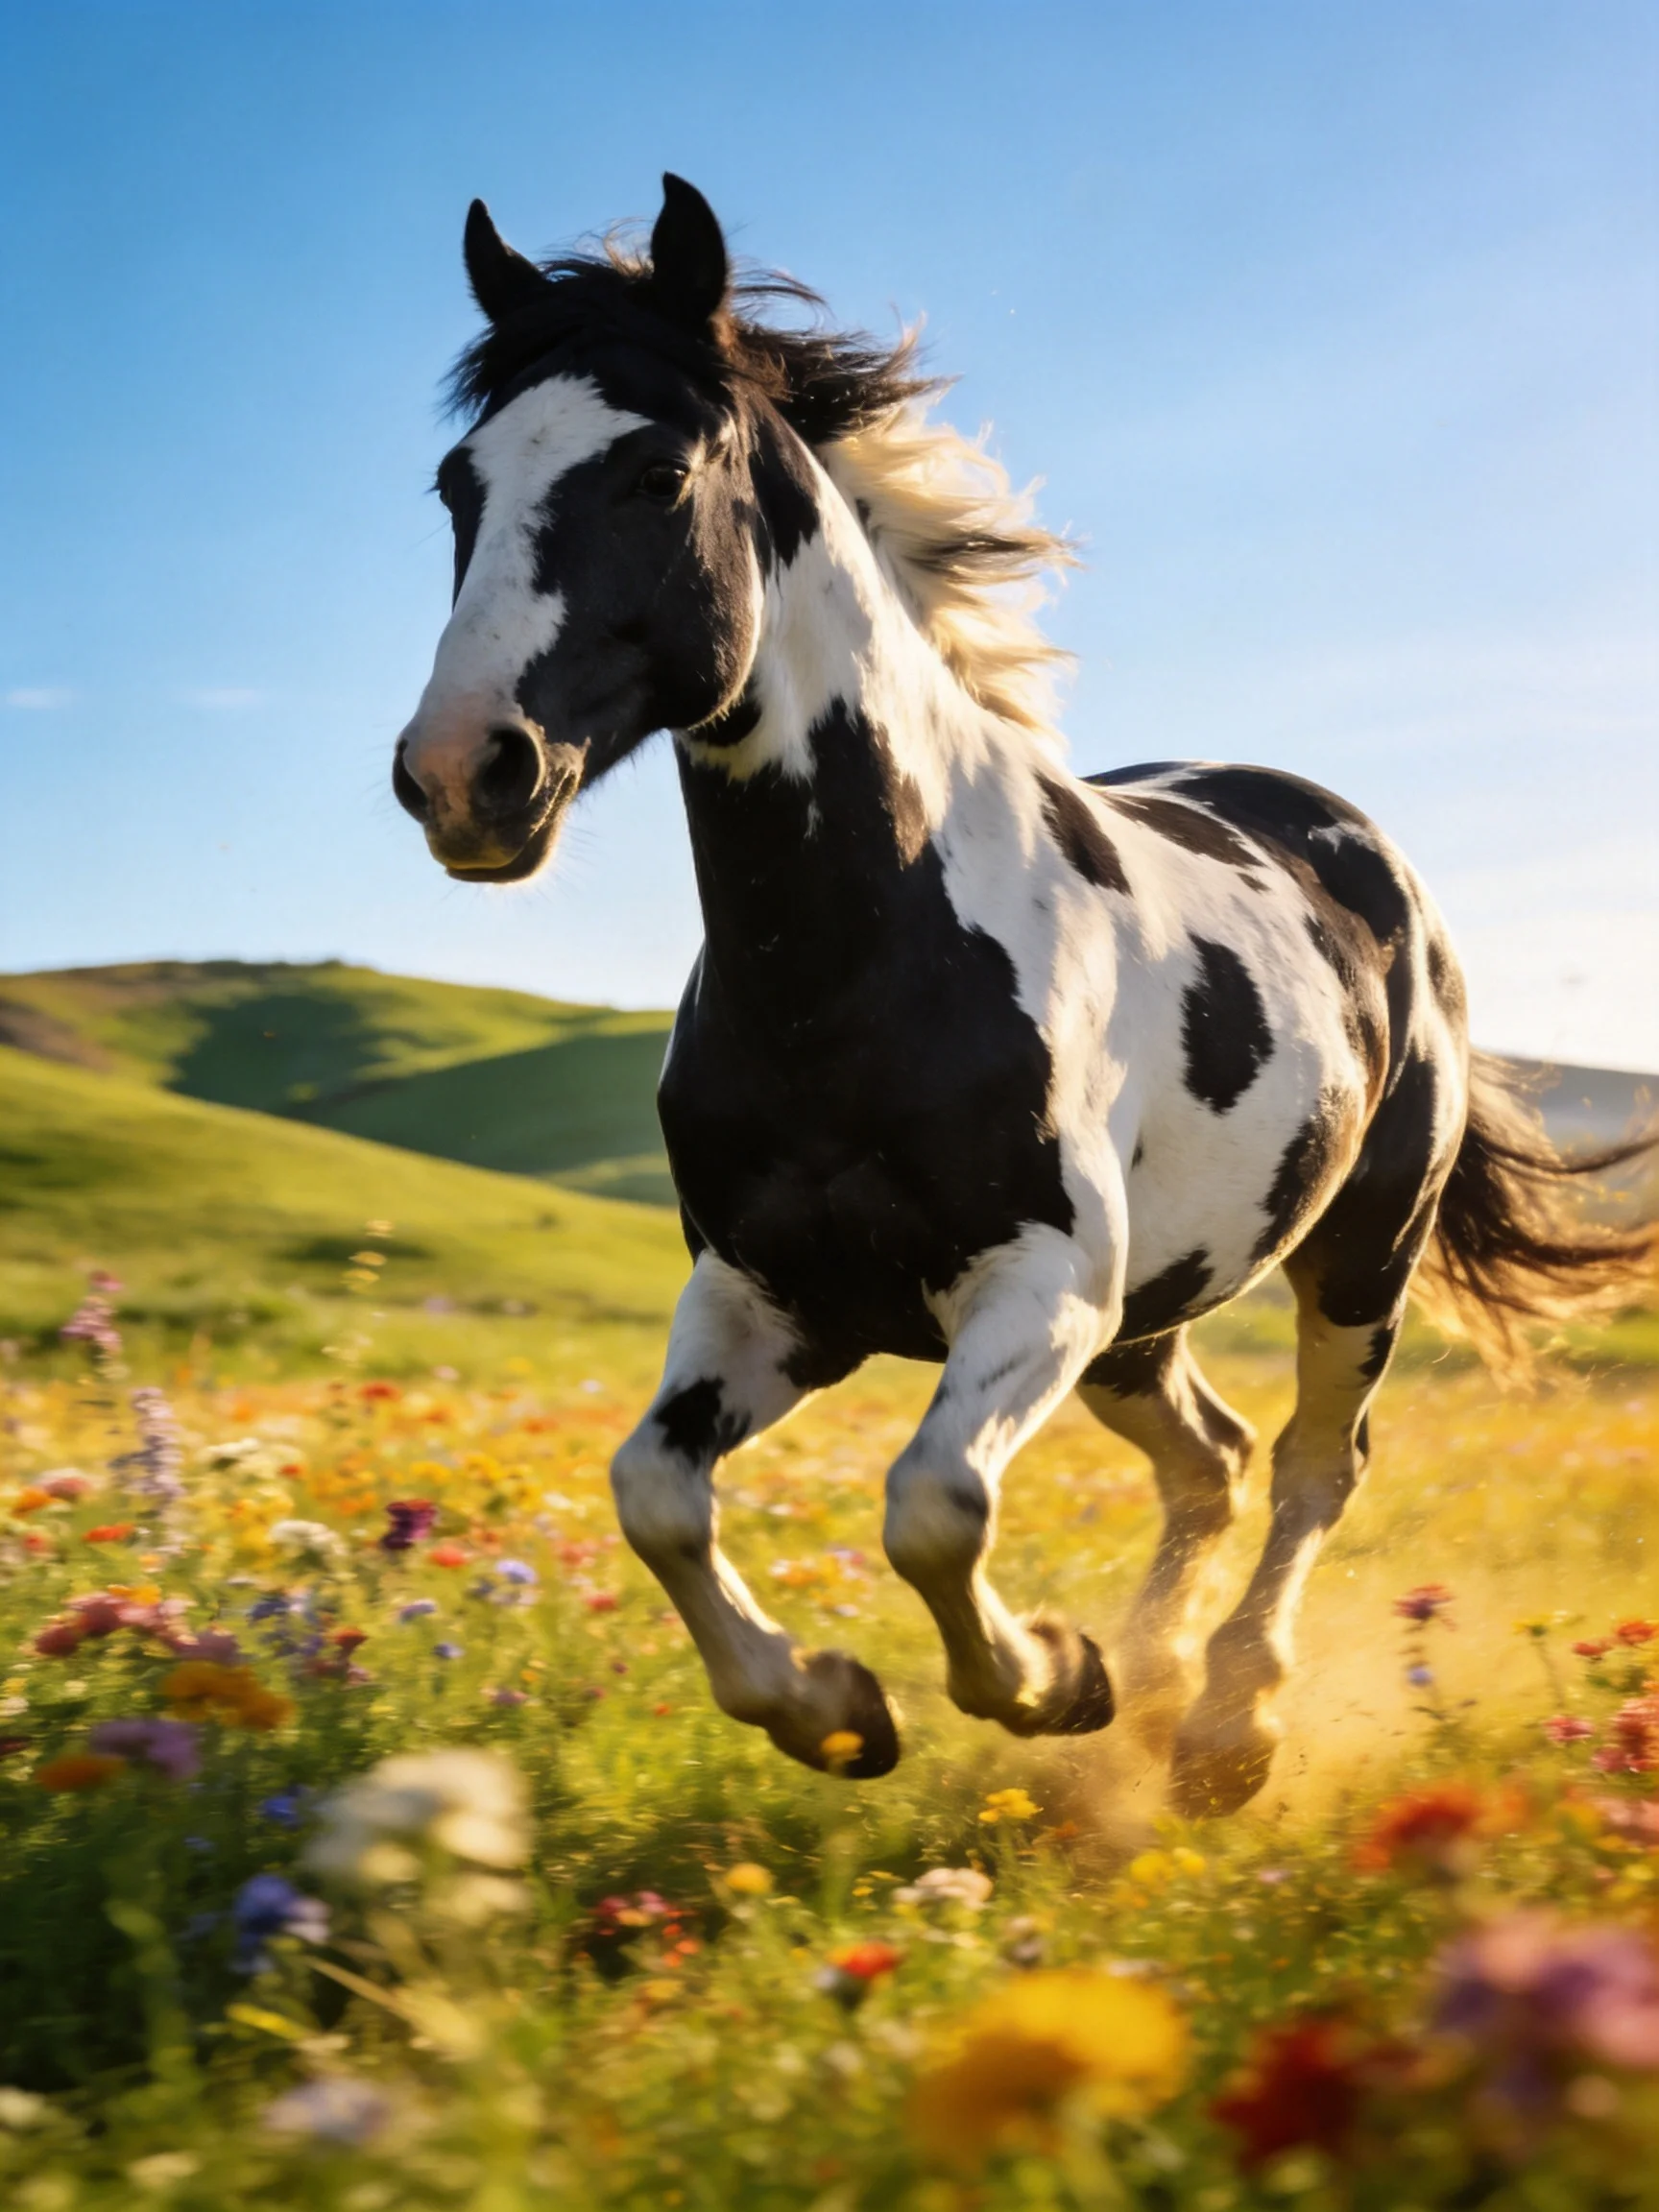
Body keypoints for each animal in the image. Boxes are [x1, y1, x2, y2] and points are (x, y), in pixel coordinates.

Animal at [392, 175, 1655, 1813]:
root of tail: (1369, 859)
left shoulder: (1037, 1284)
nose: (462, 775)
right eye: (456, 485)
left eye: (659, 472)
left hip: (1353, 1256)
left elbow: (932, 1502)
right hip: (1148, 1319)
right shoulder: (765, 1298)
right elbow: (654, 1493)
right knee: (1212, 1458)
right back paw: (1165, 1677)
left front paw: (1051, 1679)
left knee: (1314, 1463)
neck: (856, 975)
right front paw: (839, 1709)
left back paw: (1223, 1729)